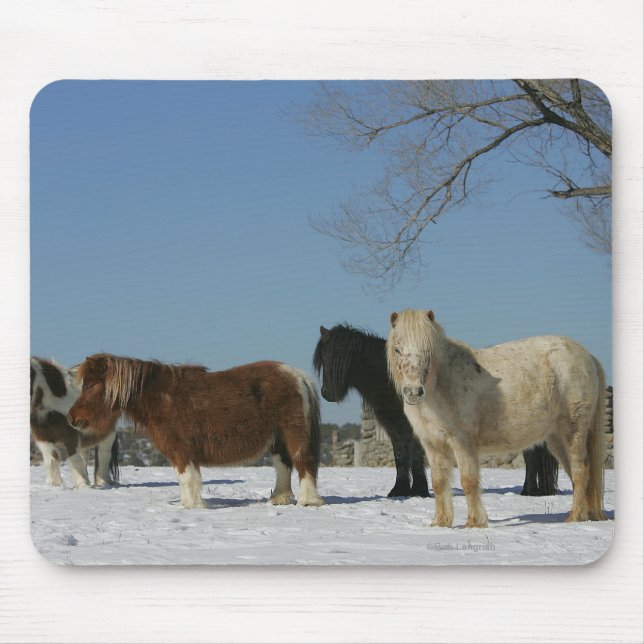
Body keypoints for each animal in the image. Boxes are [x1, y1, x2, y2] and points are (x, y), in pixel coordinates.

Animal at [30, 357, 119, 488]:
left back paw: (103, 482)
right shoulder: (43, 438)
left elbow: (75, 459)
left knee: (103, 455)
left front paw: (82, 484)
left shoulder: (70, 434)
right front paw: (54, 484)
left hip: (108, 433)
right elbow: (50, 460)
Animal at [68, 353, 325, 509]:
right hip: (277, 439)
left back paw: (308, 501)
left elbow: (187, 478)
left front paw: (193, 506)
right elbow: (184, 479)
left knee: (304, 462)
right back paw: (280, 499)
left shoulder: (181, 450)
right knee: (283, 465)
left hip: (293, 434)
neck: (161, 398)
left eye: (89, 386)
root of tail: (297, 375)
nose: (72, 418)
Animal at [313, 324, 558, 499]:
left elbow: (414, 455)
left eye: (340, 358)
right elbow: (401, 455)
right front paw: (400, 490)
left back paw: (528, 490)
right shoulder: (395, 426)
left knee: (531, 456)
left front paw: (418, 490)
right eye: (323, 359)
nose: (327, 393)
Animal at [386, 309, 606, 528]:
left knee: (580, 471)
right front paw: (440, 523)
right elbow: (439, 483)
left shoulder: (462, 442)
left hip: (573, 431)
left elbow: (469, 481)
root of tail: (587, 356)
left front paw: (474, 523)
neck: (441, 384)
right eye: (397, 349)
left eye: (428, 350)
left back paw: (574, 518)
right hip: (556, 439)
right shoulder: (432, 445)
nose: (413, 392)